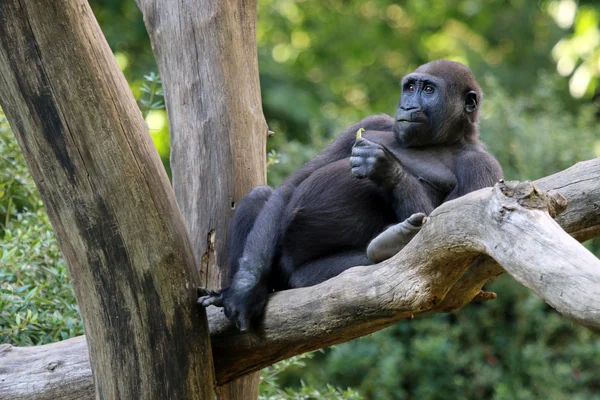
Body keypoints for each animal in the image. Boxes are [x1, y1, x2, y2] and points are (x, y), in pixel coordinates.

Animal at [199, 58, 504, 328]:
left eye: (429, 90)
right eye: (410, 87)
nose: (408, 105)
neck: (447, 139)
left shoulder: (483, 166)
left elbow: (450, 248)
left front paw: (386, 169)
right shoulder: (371, 121)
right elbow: (291, 187)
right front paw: (245, 289)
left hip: (299, 279)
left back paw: (389, 243)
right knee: (261, 198)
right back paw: (232, 291)